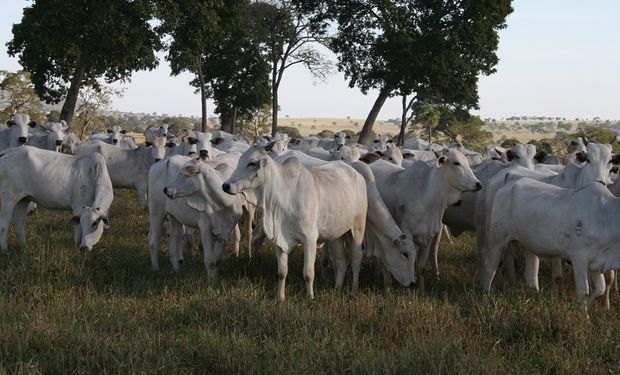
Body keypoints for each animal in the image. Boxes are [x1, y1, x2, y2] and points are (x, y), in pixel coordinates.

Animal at [223, 144, 368, 302]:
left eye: (252, 163)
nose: (225, 186)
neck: (284, 195)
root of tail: (356, 173)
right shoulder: (279, 239)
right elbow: (282, 272)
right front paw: (280, 298)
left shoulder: (310, 239)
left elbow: (308, 274)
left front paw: (310, 298)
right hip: (336, 234)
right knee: (341, 260)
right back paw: (337, 289)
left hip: (358, 227)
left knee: (356, 259)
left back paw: (353, 292)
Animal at [370, 149, 482, 290]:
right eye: (456, 163)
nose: (478, 184)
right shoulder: (406, 235)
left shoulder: (429, 236)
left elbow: (421, 266)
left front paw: (421, 290)